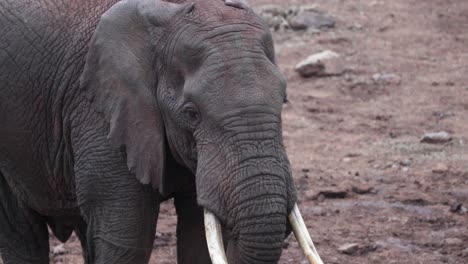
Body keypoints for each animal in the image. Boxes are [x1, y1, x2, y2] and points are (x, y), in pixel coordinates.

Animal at [0, 0, 322, 262]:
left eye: (284, 99)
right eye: (191, 114)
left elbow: (198, 240)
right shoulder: (101, 115)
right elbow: (127, 241)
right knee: (23, 236)